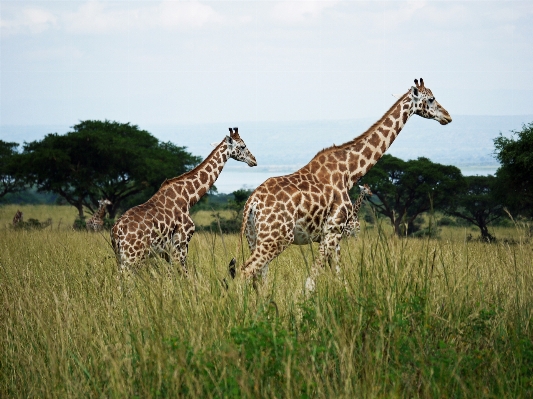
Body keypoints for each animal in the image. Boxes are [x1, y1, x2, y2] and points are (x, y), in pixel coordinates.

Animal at [111, 130, 256, 274]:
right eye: (243, 146)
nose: (254, 160)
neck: (188, 197)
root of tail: (117, 232)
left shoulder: (167, 251)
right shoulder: (182, 242)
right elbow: (184, 274)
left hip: (121, 258)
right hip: (133, 257)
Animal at [233, 78, 448, 290]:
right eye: (431, 99)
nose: (447, 116)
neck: (349, 172)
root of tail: (252, 203)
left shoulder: (334, 237)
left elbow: (339, 277)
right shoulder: (332, 231)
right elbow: (311, 282)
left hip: (254, 237)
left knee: (259, 279)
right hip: (277, 238)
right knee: (244, 272)